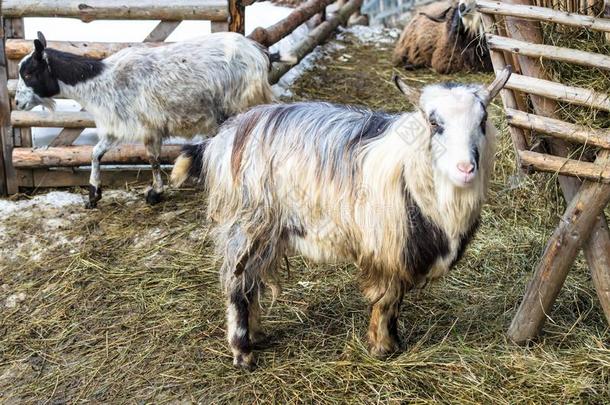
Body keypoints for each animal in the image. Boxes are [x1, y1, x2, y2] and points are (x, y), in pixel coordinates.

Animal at [14, 31, 276, 207]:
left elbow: (153, 159)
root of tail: (259, 53)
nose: (17, 103)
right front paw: (93, 194)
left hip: (240, 103)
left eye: (29, 72)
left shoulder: (147, 125)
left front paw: (155, 193)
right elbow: (96, 154)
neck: (100, 82)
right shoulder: (118, 127)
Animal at [170, 67, 508, 370]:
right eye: (434, 122)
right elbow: (386, 300)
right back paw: (243, 353)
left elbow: (395, 300)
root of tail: (218, 140)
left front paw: (394, 344)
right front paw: (382, 348)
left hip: (266, 231)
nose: (466, 168)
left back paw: (257, 335)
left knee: (251, 281)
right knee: (236, 285)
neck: (410, 172)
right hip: (246, 222)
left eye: (483, 121)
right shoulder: (386, 248)